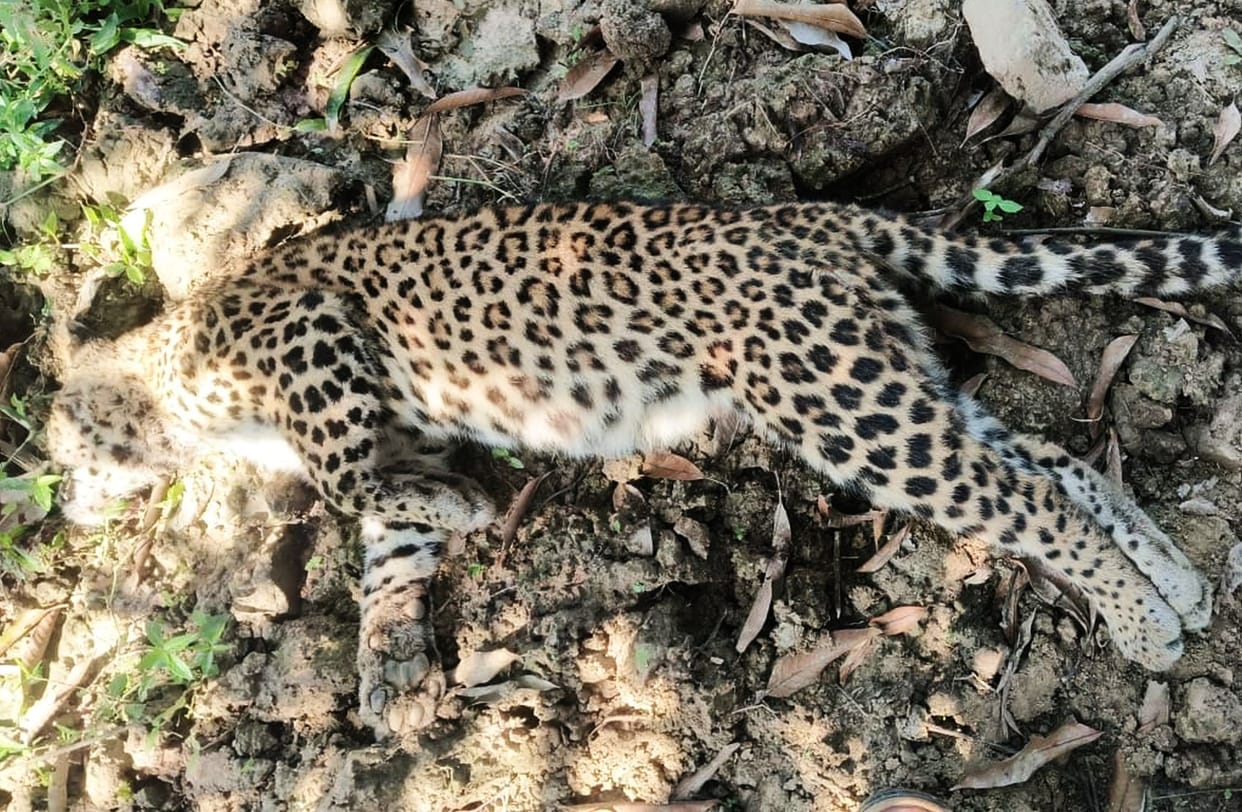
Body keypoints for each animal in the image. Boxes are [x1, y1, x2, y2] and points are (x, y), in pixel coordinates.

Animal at [45, 200, 1240, 737]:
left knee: (1024, 492)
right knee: (1046, 457)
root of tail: (808, 212)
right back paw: (1176, 582)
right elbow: (388, 544)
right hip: (877, 375)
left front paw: (460, 506)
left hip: (838, 400)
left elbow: (353, 484)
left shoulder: (311, 338)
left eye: (59, 453)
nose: (63, 510)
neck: (161, 373)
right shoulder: (384, 428)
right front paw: (387, 668)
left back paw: (1146, 625)